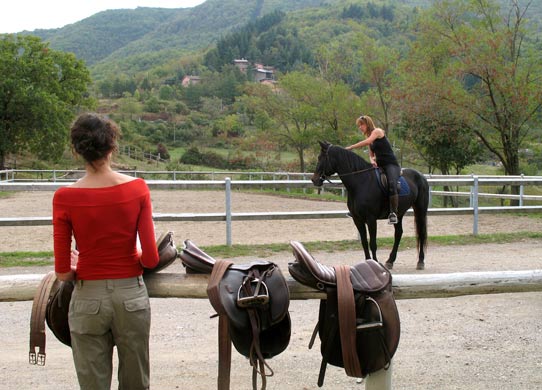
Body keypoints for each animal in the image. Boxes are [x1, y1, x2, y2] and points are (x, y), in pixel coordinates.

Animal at [312, 141, 432, 272]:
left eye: (320, 158)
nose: (314, 180)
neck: (361, 182)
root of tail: (421, 176)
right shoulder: (357, 219)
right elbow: (364, 242)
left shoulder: (371, 219)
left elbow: (373, 243)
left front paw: (375, 264)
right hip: (399, 214)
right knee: (398, 233)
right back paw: (390, 261)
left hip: (420, 210)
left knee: (421, 233)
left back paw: (420, 262)